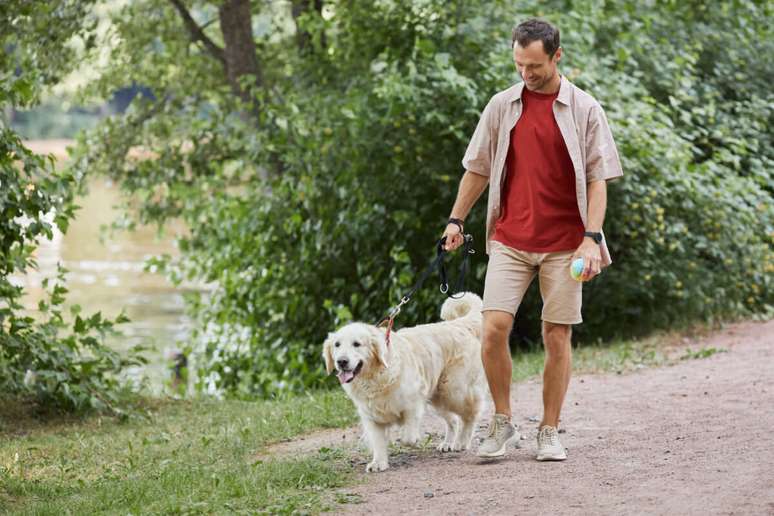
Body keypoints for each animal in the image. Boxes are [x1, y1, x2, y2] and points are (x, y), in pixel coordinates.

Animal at [324, 292, 488, 470]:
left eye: (357, 344)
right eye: (337, 345)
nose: (341, 361)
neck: (376, 376)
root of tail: (458, 324)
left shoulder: (413, 403)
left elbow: (407, 437)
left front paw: (414, 440)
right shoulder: (371, 416)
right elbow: (378, 442)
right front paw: (378, 463)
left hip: (453, 390)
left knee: (470, 414)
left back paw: (461, 441)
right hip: (438, 396)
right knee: (453, 420)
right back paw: (448, 443)